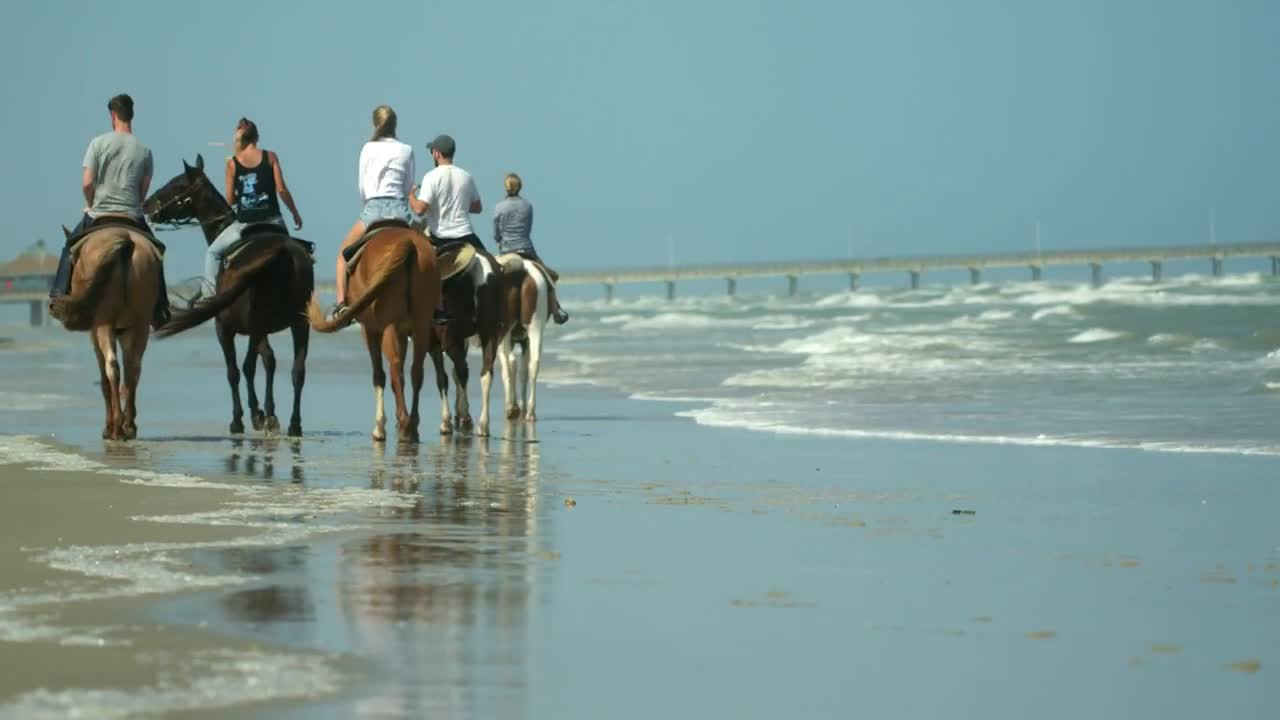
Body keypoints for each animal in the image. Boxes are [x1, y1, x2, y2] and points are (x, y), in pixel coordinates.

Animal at [48, 221, 162, 440]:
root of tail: (126, 242)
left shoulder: (95, 332)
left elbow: (103, 379)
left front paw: (108, 427)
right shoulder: (126, 331)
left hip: (104, 324)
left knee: (112, 367)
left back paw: (116, 428)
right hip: (140, 324)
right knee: (133, 368)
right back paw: (128, 425)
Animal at [307, 221, 448, 440]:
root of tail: (407, 244)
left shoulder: (370, 329)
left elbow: (378, 375)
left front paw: (379, 426)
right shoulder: (403, 331)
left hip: (388, 326)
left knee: (395, 370)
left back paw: (404, 423)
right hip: (421, 324)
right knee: (415, 371)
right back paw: (412, 423)